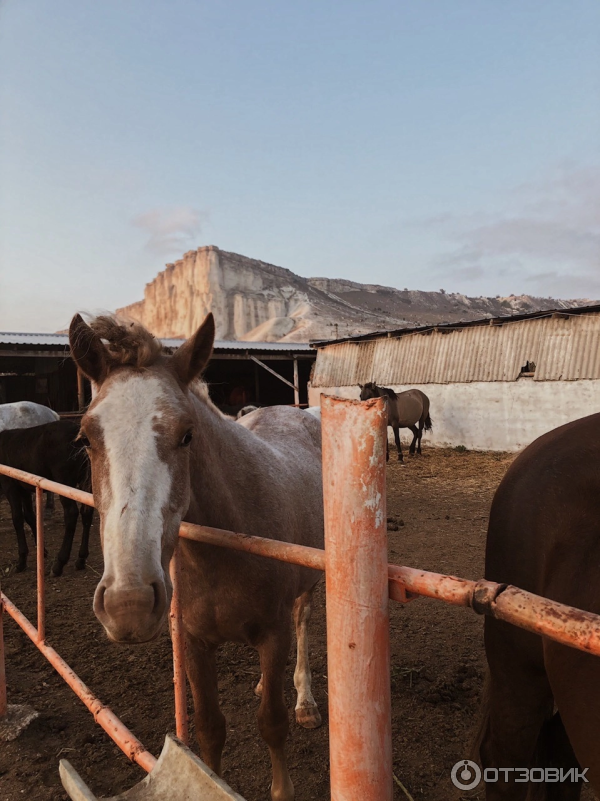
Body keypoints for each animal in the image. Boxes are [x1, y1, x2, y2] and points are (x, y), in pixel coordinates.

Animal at [68, 312, 326, 800]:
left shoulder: (273, 633)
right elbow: (209, 728)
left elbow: (272, 722)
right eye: (86, 438)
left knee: (302, 624)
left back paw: (304, 701)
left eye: (187, 435)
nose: (128, 605)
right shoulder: (193, 642)